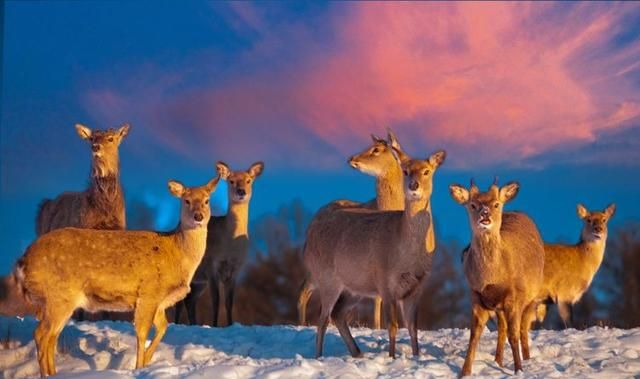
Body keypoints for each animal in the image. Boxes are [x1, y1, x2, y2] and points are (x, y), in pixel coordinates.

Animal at [10, 176, 218, 378]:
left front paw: (148, 361)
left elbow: (163, 327)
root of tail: (23, 260)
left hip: (57, 301)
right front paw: (139, 368)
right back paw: (47, 374)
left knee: (51, 337)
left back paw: (53, 373)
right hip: (58, 295)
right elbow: (142, 332)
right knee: (41, 334)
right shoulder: (149, 292)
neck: (176, 254)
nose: (198, 216)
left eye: (207, 200)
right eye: (186, 200)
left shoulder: (159, 302)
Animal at [174, 160, 264, 326]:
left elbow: (229, 302)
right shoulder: (212, 265)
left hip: (198, 281)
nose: (241, 191)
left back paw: (194, 323)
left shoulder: (235, 270)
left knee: (190, 301)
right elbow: (216, 300)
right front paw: (215, 325)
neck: (228, 244)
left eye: (249, 180)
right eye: (231, 181)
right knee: (180, 301)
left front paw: (229, 324)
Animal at [298, 131, 412, 330]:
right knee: (304, 290)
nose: (352, 158)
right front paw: (377, 327)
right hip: (316, 267)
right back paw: (302, 324)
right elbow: (378, 298)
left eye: (377, 149)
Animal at [304, 149, 444, 360]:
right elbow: (393, 326)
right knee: (322, 319)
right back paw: (319, 357)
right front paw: (392, 357)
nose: (414, 185)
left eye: (427, 171)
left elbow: (413, 328)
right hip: (327, 277)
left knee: (337, 314)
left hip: (355, 285)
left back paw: (357, 353)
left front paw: (416, 356)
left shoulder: (416, 287)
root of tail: (309, 230)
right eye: (405, 171)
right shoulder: (385, 282)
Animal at [450, 180, 544, 378]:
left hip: (532, 295)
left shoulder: (513, 296)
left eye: (496, 204)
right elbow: (474, 335)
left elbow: (514, 334)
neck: (491, 278)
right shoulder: (476, 295)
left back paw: (527, 358)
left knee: (523, 328)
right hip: (498, 306)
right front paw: (464, 371)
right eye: (473, 205)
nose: (485, 214)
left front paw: (518, 369)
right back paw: (498, 360)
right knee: (502, 329)